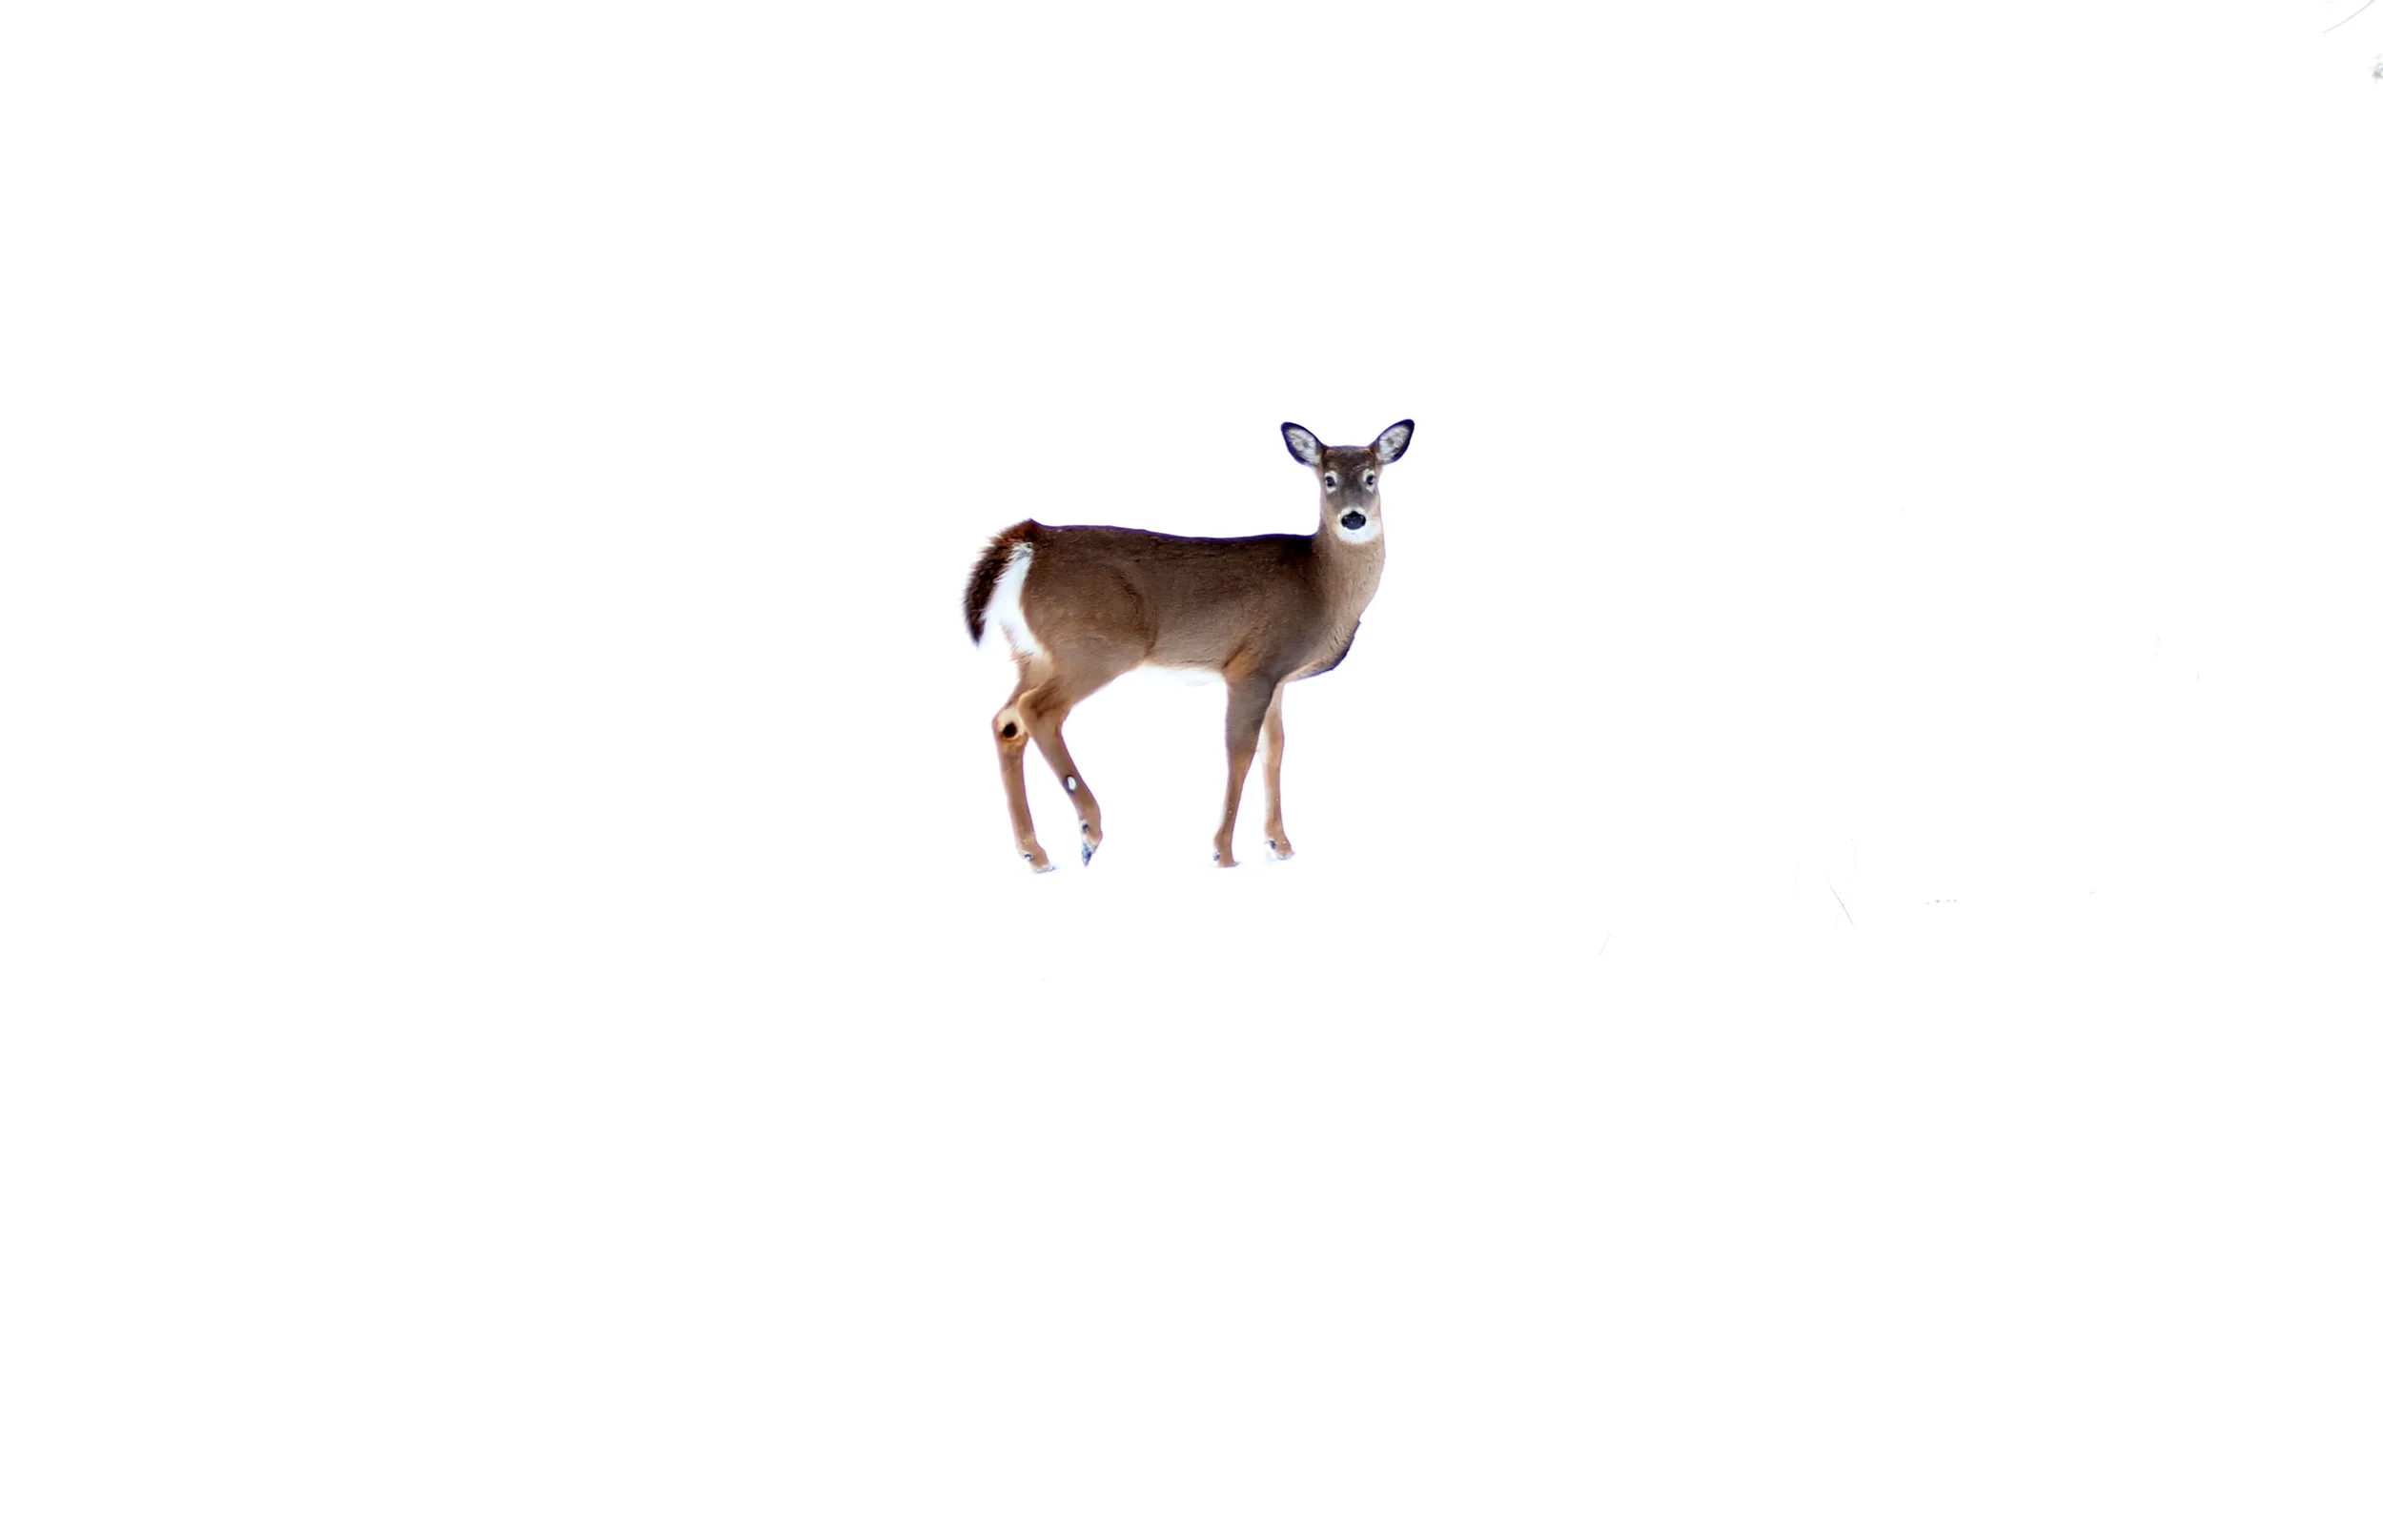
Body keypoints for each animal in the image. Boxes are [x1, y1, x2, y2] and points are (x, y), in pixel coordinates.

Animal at [963, 419, 1414, 871]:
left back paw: (1035, 853)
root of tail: (1031, 543)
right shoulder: (1252, 666)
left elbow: (1275, 750)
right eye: (1328, 479)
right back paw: (1089, 832)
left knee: (1006, 722)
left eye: (1371, 477)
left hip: (1033, 654)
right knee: (1037, 711)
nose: (1353, 518)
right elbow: (1239, 751)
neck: (1320, 584)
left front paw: (1281, 845)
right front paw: (1224, 852)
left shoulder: (1278, 677)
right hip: (1096, 647)